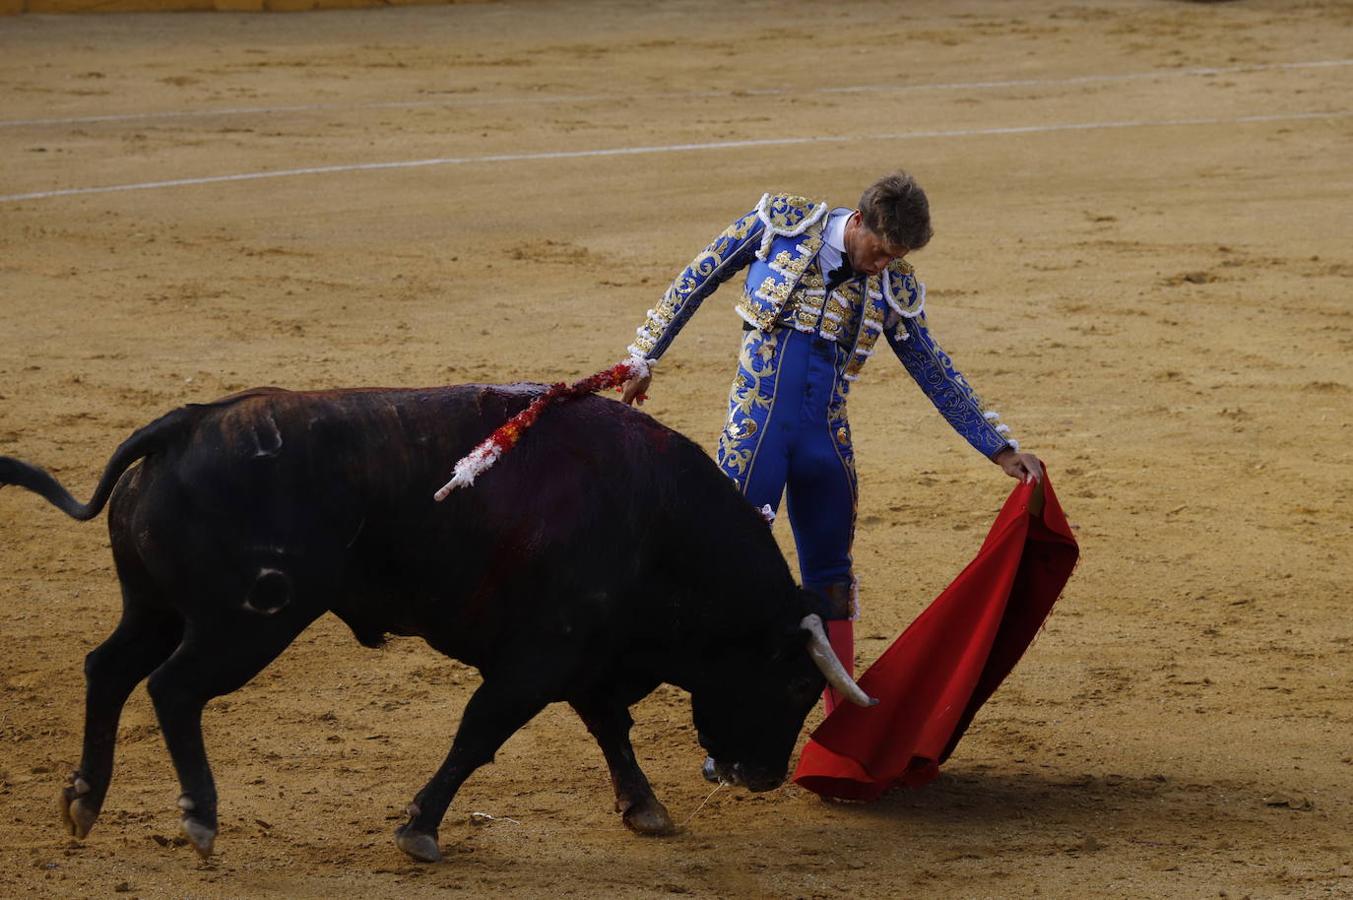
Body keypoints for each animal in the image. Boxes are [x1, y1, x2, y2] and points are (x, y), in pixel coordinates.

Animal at [0, 384, 865, 866]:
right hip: (243, 624)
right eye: (796, 683)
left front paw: (644, 809)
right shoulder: (539, 658)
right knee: (173, 689)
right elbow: (480, 734)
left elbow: (609, 729)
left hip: (155, 608)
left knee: (108, 669)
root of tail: (186, 423)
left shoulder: (584, 657)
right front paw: (418, 830)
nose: (766, 776)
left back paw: (84, 800)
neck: (662, 526)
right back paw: (200, 819)